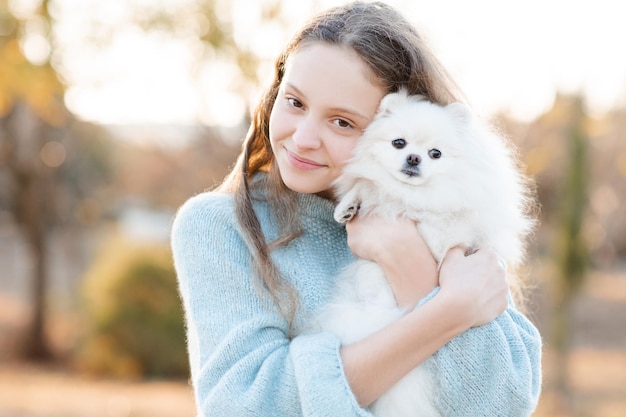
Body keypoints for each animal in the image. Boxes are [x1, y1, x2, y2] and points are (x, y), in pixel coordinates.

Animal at [314, 89, 532, 416]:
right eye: (398, 143)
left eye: (435, 153)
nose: (414, 158)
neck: (414, 195)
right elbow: (370, 185)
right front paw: (350, 205)